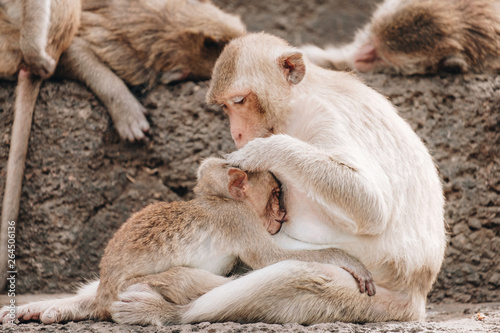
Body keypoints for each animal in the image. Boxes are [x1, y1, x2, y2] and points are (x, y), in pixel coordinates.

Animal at [0, 158, 376, 324]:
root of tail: (106, 293)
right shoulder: (238, 220)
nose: (282, 215)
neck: (222, 200)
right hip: (130, 288)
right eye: (274, 196)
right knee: (185, 279)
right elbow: (270, 257)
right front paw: (346, 260)